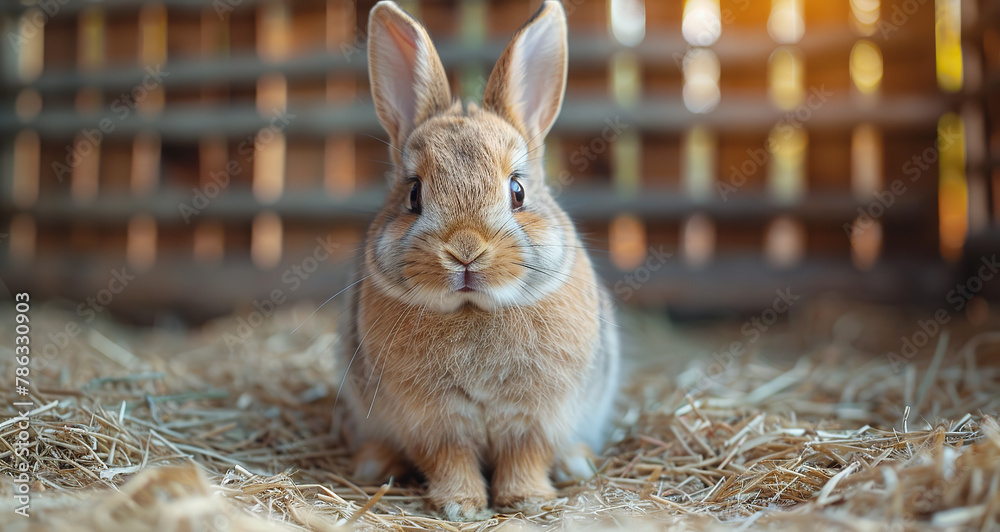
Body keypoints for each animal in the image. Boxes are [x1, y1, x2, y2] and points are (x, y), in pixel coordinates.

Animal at [336, 0, 616, 520]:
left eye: (517, 191)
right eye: (414, 194)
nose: (465, 249)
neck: (472, 309)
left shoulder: (537, 417)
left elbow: (526, 455)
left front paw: (526, 500)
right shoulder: (432, 421)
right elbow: (450, 460)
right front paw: (461, 507)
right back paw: (373, 466)